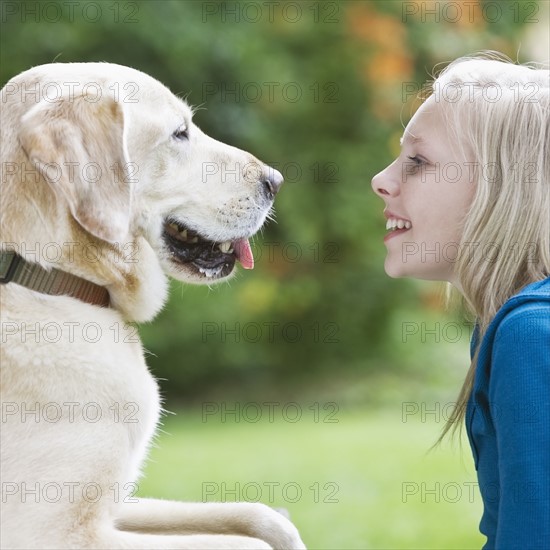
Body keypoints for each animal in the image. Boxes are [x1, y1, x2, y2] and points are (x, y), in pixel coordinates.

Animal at [0, 63, 306, 550]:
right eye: (179, 133)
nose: (275, 180)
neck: (49, 277)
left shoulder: (119, 504)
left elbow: (261, 516)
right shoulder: (52, 532)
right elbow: (246, 542)